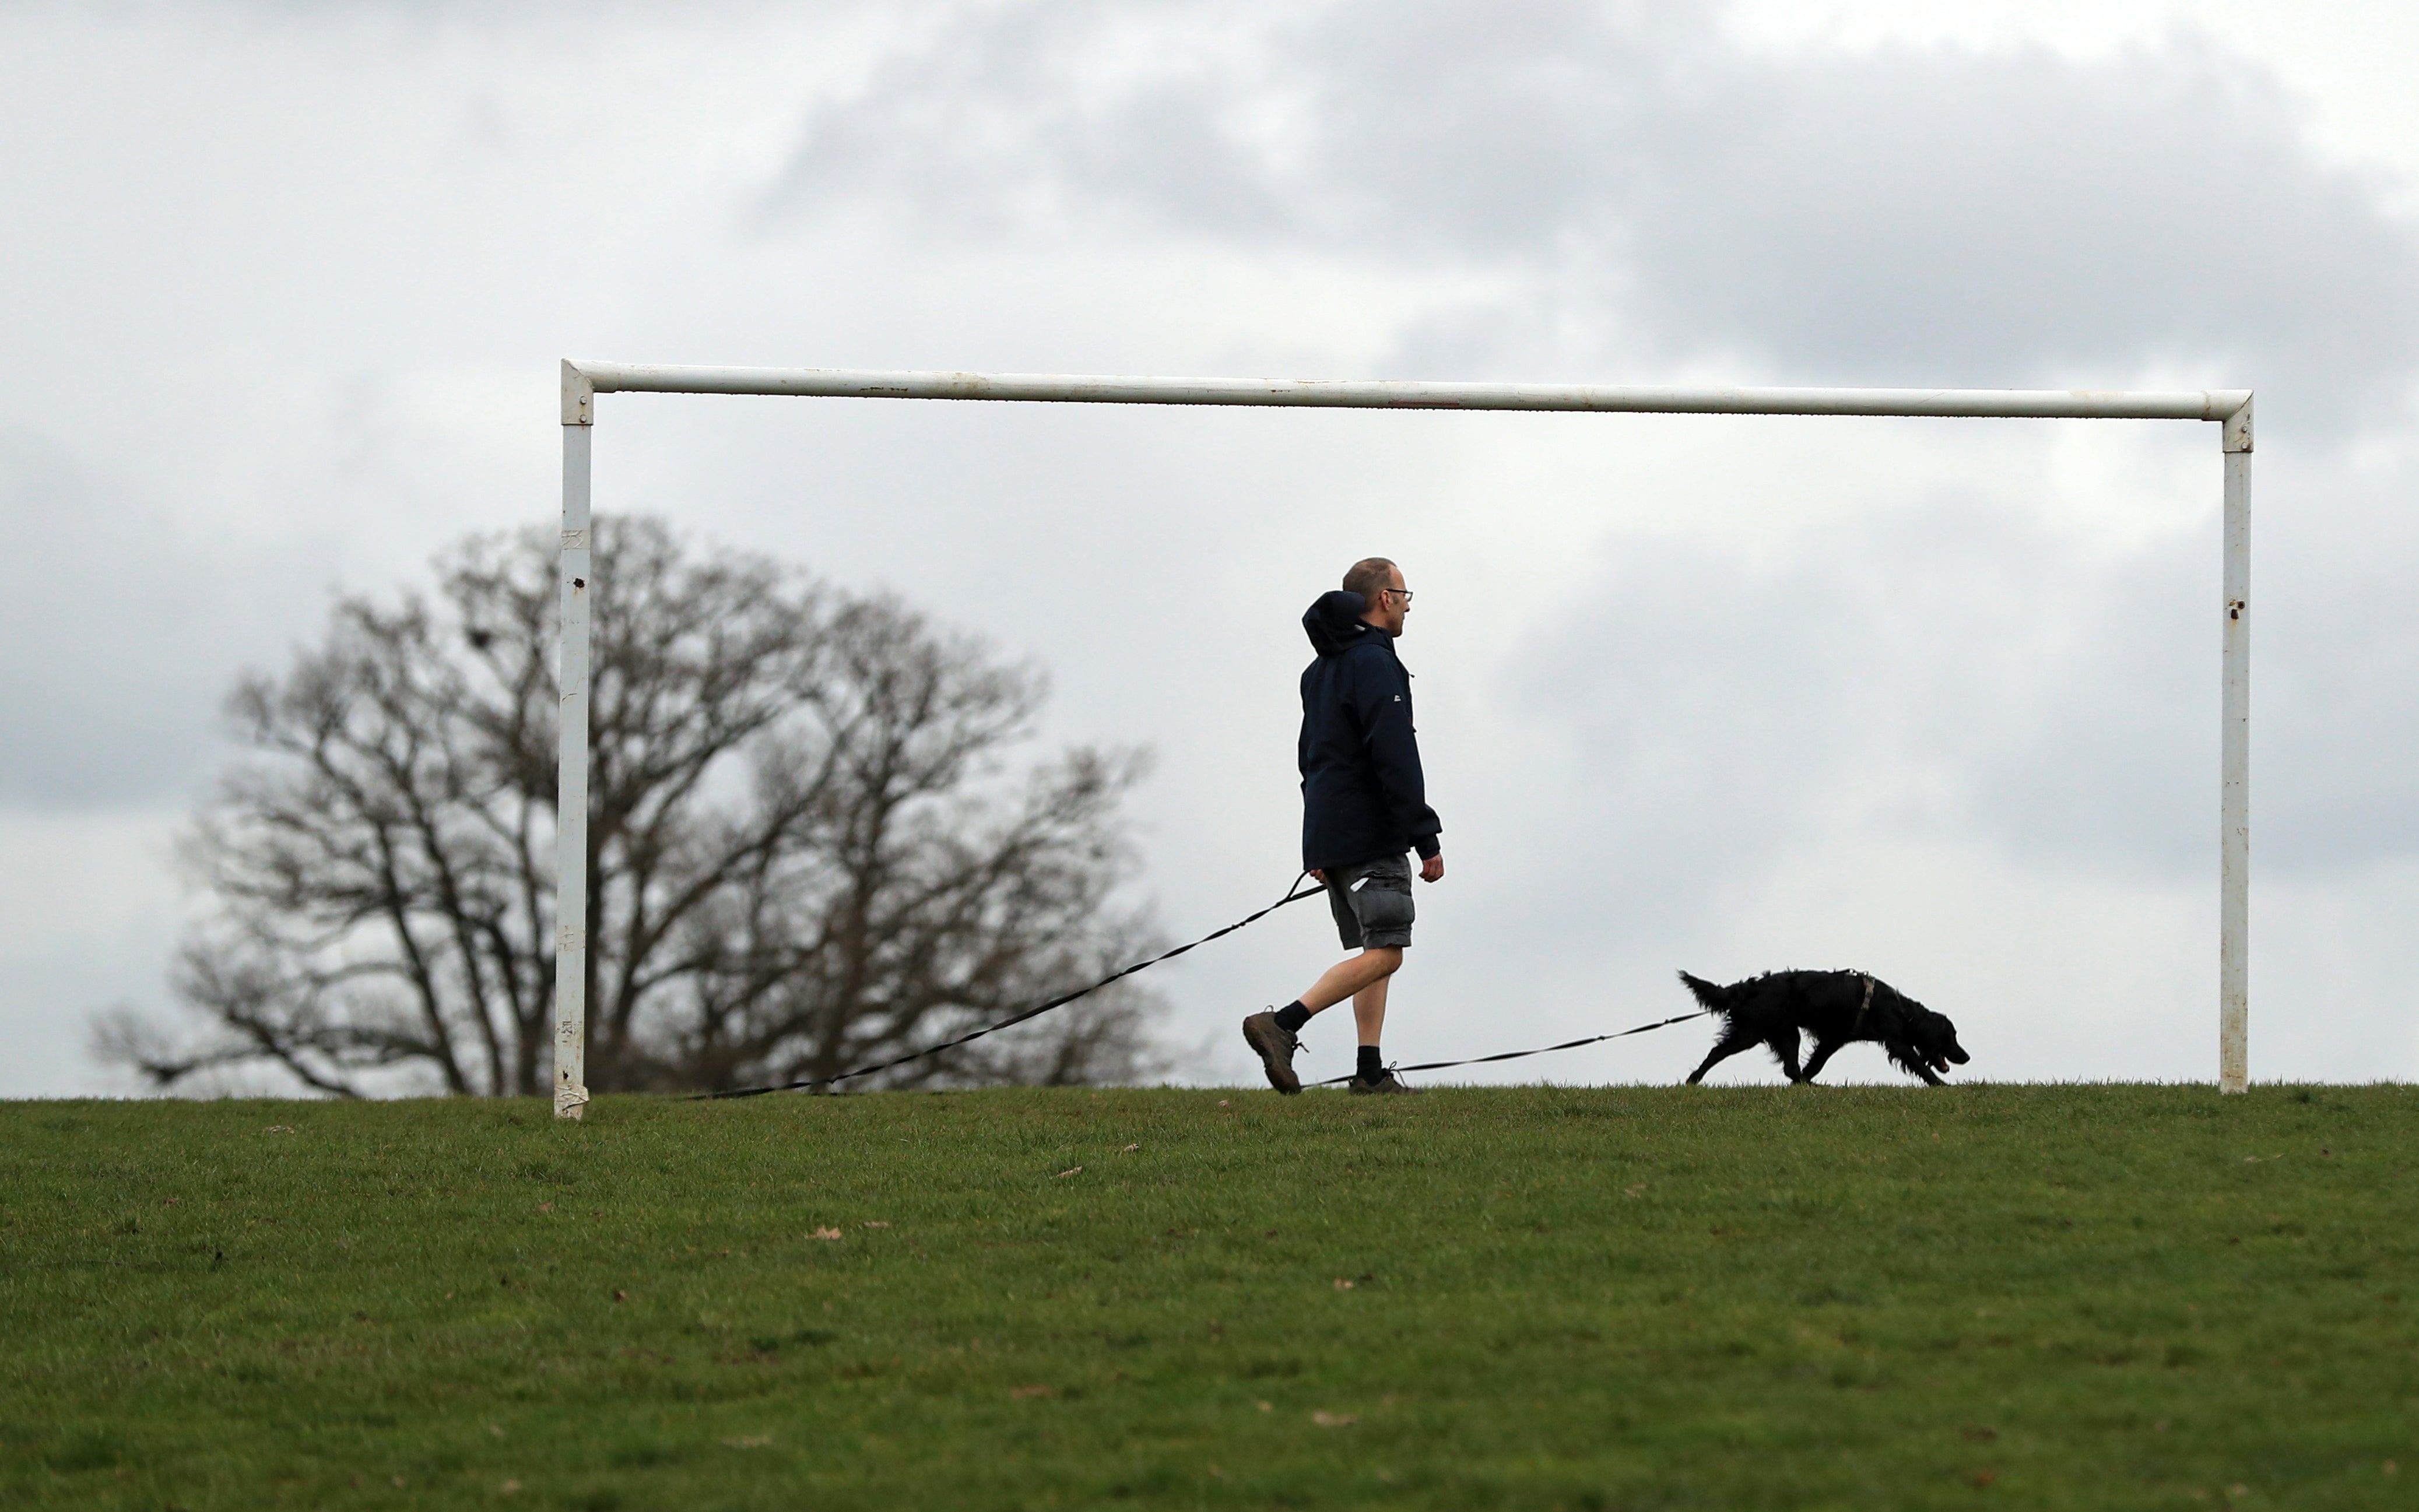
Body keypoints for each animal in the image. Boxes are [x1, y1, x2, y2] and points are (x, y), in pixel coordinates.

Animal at [1683, 968, 1964, 1084]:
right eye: (1951, 1037)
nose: (1967, 1056)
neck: (1903, 1011)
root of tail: (1746, 988)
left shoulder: (1833, 1039)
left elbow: (1815, 1064)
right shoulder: (1898, 1044)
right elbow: (1921, 1066)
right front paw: (1942, 1086)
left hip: (1787, 1033)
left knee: (1791, 1069)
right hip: (1751, 1032)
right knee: (1717, 1052)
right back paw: (1692, 1080)